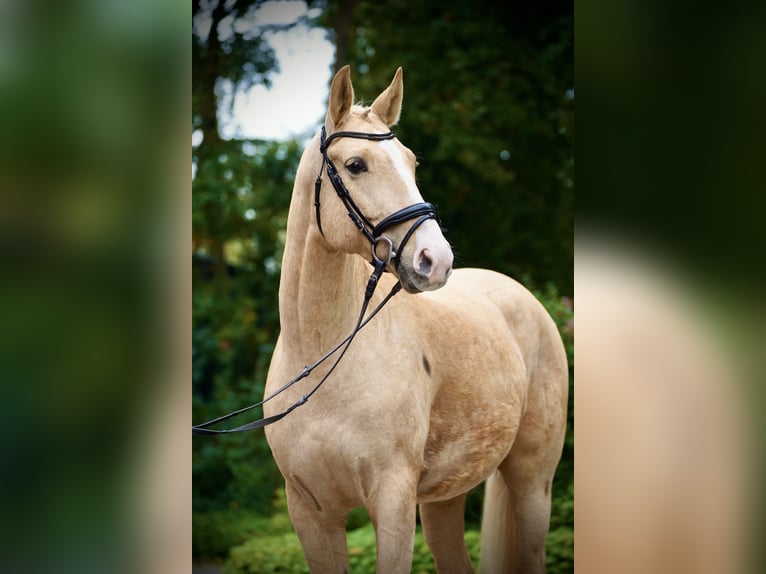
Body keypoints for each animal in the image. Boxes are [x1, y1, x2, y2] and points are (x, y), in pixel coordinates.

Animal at [263, 65, 568, 574]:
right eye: (356, 165)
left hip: (532, 486)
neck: (321, 362)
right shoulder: (310, 514)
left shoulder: (393, 502)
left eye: (411, 162)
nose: (435, 260)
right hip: (445, 500)